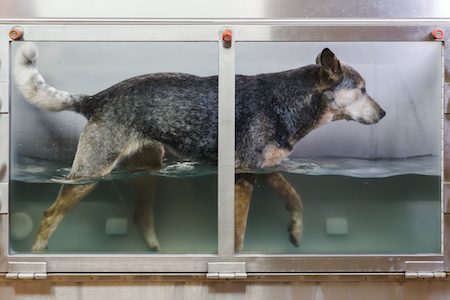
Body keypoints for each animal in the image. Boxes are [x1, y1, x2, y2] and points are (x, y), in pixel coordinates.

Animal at [14, 43, 386, 252]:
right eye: (363, 89)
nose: (384, 113)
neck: (289, 102)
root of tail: (96, 98)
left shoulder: (264, 170)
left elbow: (295, 198)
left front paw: (295, 231)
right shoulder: (244, 176)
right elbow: (238, 234)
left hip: (147, 169)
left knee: (140, 214)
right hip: (89, 175)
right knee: (50, 214)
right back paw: (38, 254)